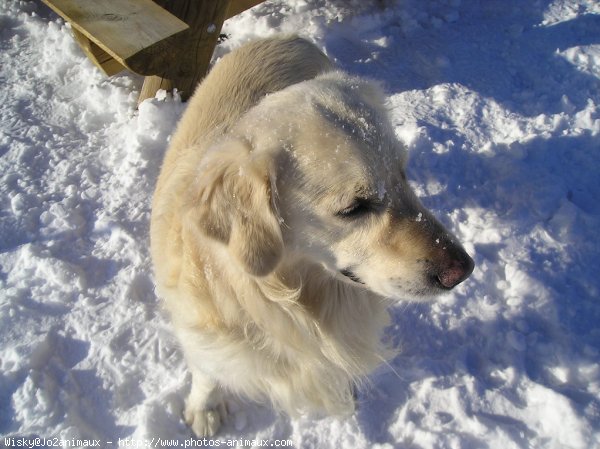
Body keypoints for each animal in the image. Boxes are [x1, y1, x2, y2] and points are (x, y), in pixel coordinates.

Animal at [149, 36, 474, 436]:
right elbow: (207, 372)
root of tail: (288, 37)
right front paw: (204, 408)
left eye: (403, 174)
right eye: (353, 207)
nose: (464, 269)